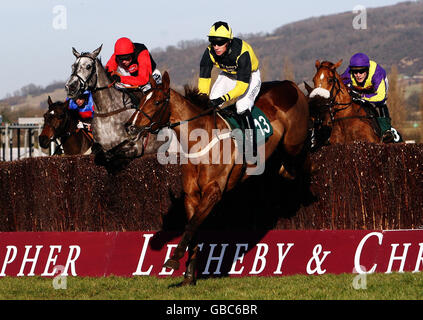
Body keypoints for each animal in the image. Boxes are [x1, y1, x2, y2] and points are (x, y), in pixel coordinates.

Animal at [124, 70, 310, 284]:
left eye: (156, 102)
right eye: (140, 101)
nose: (130, 127)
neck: (200, 140)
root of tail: (291, 85)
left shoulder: (213, 191)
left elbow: (192, 225)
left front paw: (174, 258)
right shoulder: (192, 195)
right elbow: (193, 227)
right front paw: (189, 276)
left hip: (294, 144)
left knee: (300, 162)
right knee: (285, 170)